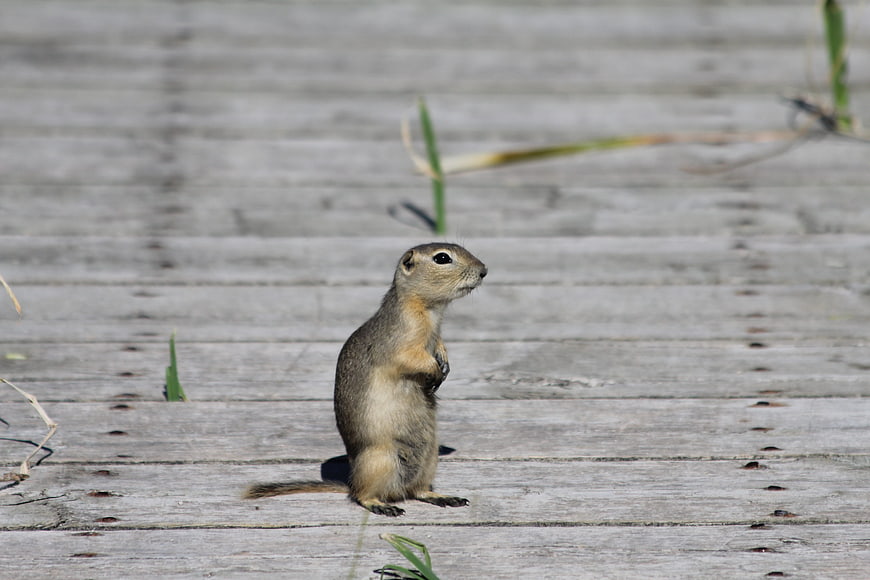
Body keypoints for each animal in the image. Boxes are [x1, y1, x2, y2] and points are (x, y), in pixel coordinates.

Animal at [243, 243, 487, 516]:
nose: (484, 270)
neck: (429, 312)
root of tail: (350, 482)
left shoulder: (436, 336)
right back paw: (382, 505)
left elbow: (441, 347)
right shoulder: (400, 343)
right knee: (362, 495)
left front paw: (445, 363)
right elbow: (411, 359)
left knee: (417, 491)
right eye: (442, 258)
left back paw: (443, 497)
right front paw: (435, 370)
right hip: (380, 459)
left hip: (429, 457)